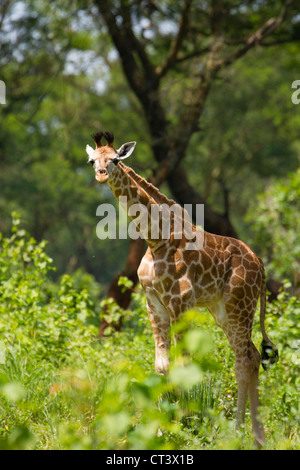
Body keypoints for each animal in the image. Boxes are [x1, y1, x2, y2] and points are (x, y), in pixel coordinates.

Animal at [86, 130, 278, 446]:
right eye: (93, 160)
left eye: (115, 160)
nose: (101, 175)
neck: (156, 239)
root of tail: (261, 267)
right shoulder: (154, 302)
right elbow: (162, 365)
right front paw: (161, 430)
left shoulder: (180, 302)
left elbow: (182, 367)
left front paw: (181, 428)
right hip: (222, 310)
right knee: (252, 355)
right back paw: (257, 438)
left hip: (240, 304)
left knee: (243, 358)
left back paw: (237, 433)